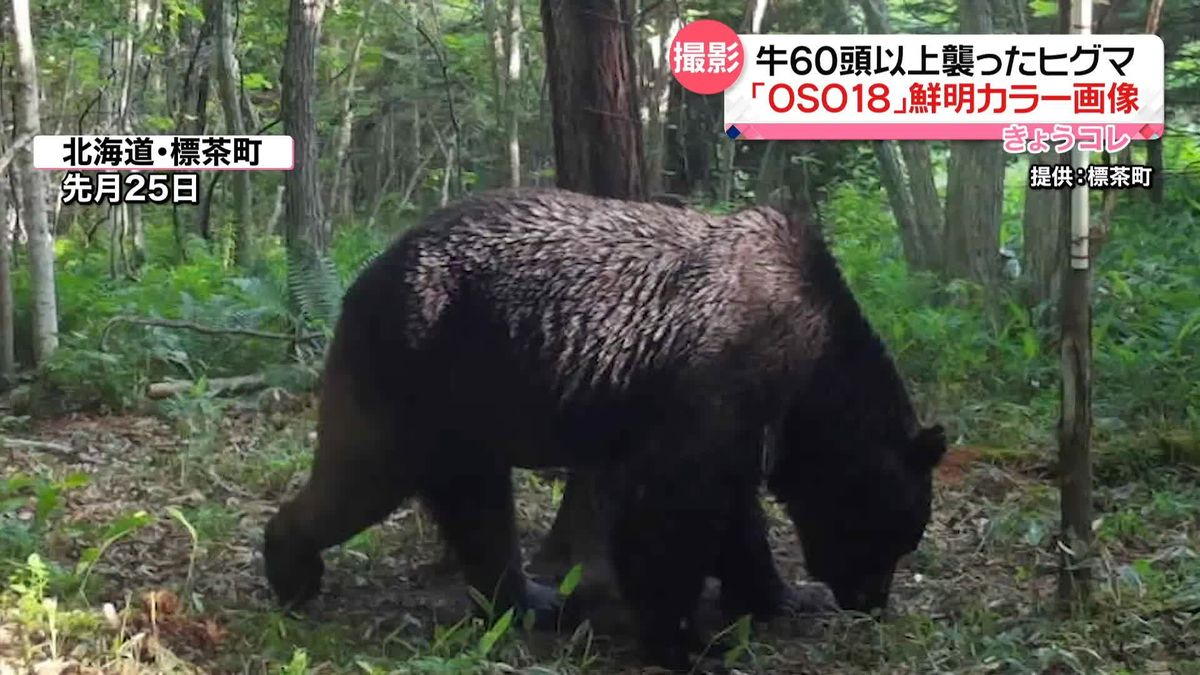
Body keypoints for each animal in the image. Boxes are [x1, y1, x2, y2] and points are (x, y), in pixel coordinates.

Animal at [265, 186, 945, 667]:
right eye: (893, 537)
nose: (870, 602)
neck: (809, 374)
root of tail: (365, 274)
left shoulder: (741, 424)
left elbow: (732, 514)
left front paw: (778, 596)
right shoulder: (717, 379)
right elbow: (671, 511)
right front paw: (688, 642)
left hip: (470, 406)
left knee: (477, 507)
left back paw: (531, 599)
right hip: (418, 368)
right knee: (364, 475)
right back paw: (291, 568)